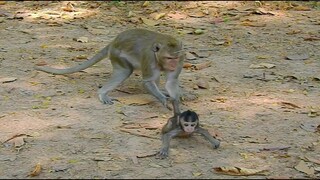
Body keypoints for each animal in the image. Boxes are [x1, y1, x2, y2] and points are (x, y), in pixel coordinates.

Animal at [34, 28, 185, 112]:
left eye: (175, 58)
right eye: (168, 58)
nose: (173, 65)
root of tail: (113, 41)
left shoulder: (182, 58)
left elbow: (171, 81)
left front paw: (174, 101)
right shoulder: (149, 57)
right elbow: (148, 81)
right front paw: (163, 100)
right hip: (117, 55)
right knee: (124, 71)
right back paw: (102, 93)